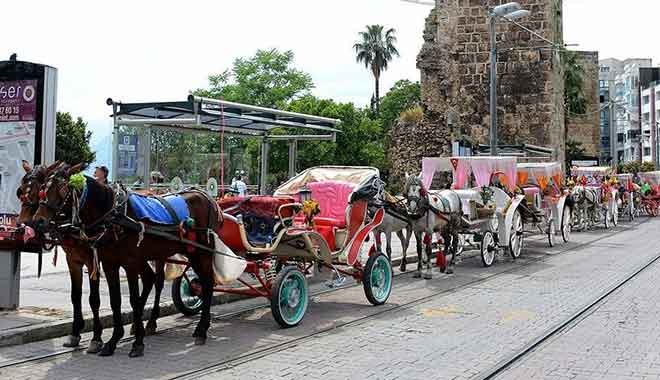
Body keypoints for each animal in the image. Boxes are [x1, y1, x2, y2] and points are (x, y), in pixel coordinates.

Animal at [34, 165, 219, 358]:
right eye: (43, 189)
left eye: (62, 190)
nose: (38, 221)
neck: (113, 217)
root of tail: (205, 196)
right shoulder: (108, 264)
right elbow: (114, 300)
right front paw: (113, 341)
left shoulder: (127, 264)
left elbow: (132, 300)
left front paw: (136, 343)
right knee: (162, 280)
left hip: (202, 253)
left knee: (206, 284)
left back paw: (201, 329)